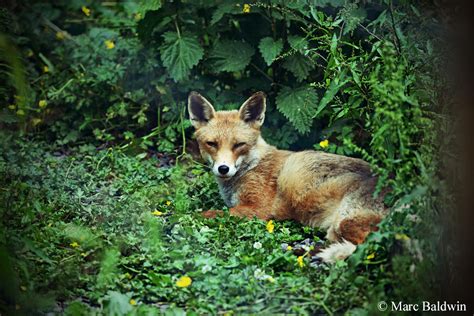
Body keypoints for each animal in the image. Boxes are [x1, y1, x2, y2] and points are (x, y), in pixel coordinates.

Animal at [187, 90, 386, 262]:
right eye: (212, 144)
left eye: (239, 145)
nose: (223, 168)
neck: (251, 166)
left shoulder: (258, 209)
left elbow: (208, 213)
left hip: (344, 223)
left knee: (368, 249)